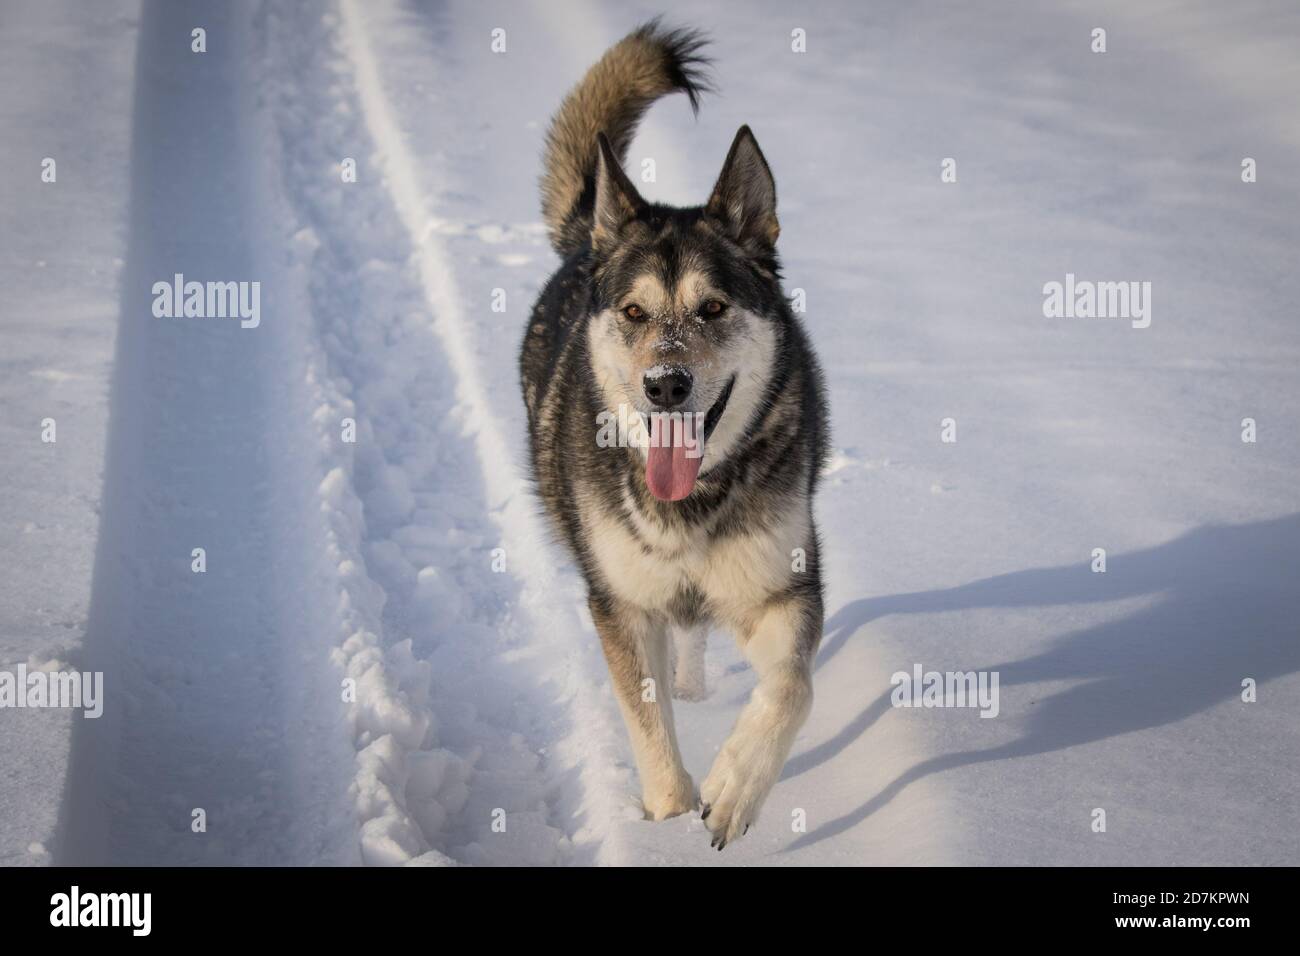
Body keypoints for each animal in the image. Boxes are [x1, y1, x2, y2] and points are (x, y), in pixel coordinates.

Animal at [522, 18, 826, 848]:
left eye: (713, 307)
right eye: (633, 312)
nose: (665, 386)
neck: (692, 502)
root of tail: (586, 241)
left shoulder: (781, 585)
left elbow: (792, 684)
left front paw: (734, 786)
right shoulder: (619, 602)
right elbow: (644, 713)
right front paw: (664, 811)